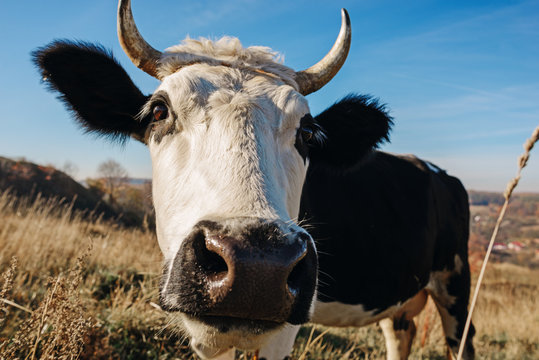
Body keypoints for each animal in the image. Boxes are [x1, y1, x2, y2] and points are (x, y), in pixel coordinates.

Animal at [32, 0, 476, 360]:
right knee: (401, 335)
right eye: (159, 110)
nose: (256, 265)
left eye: (307, 132)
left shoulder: (285, 329)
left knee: (462, 341)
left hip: (456, 282)